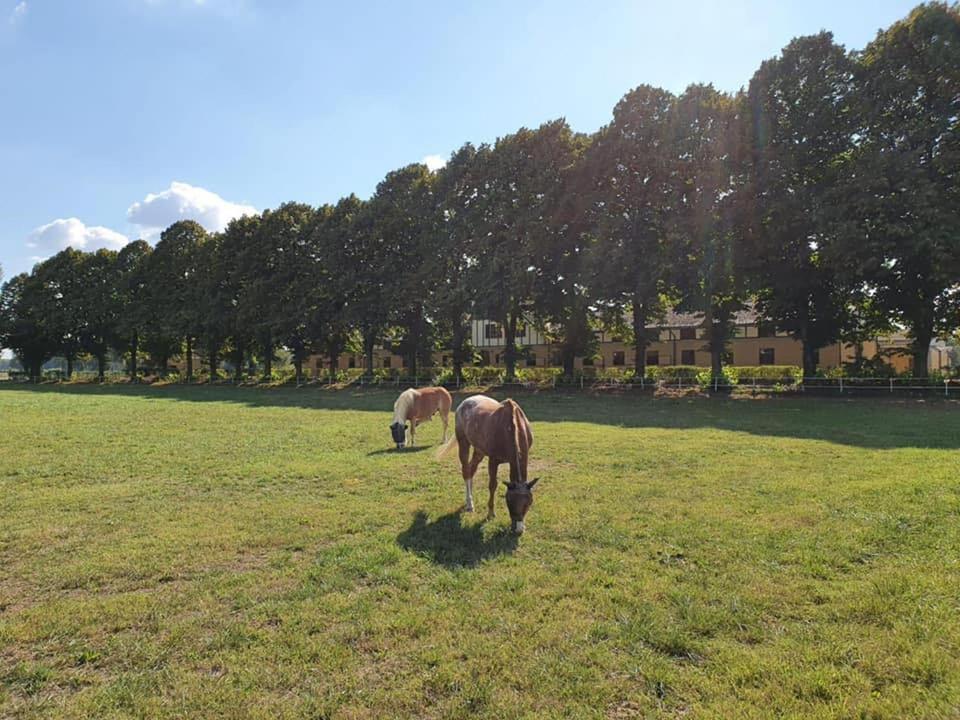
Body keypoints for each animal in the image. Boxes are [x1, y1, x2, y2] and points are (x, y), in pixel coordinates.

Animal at [436, 394, 536, 536]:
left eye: (529, 502)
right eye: (509, 501)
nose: (518, 530)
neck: (511, 428)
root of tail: (464, 403)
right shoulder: (493, 460)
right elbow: (492, 485)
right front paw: (490, 514)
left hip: (479, 451)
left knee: (471, 470)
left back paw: (469, 499)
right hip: (464, 442)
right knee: (466, 471)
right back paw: (469, 504)